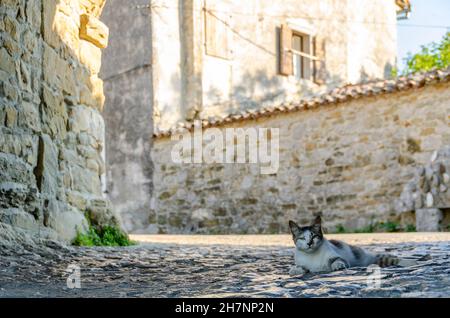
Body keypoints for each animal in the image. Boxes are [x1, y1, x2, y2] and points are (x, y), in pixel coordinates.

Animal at [286, 216, 416, 276]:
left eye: (313, 237)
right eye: (302, 238)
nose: (309, 243)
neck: (312, 256)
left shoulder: (337, 256)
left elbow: (337, 260)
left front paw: (338, 265)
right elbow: (301, 267)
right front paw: (295, 270)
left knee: (392, 259)